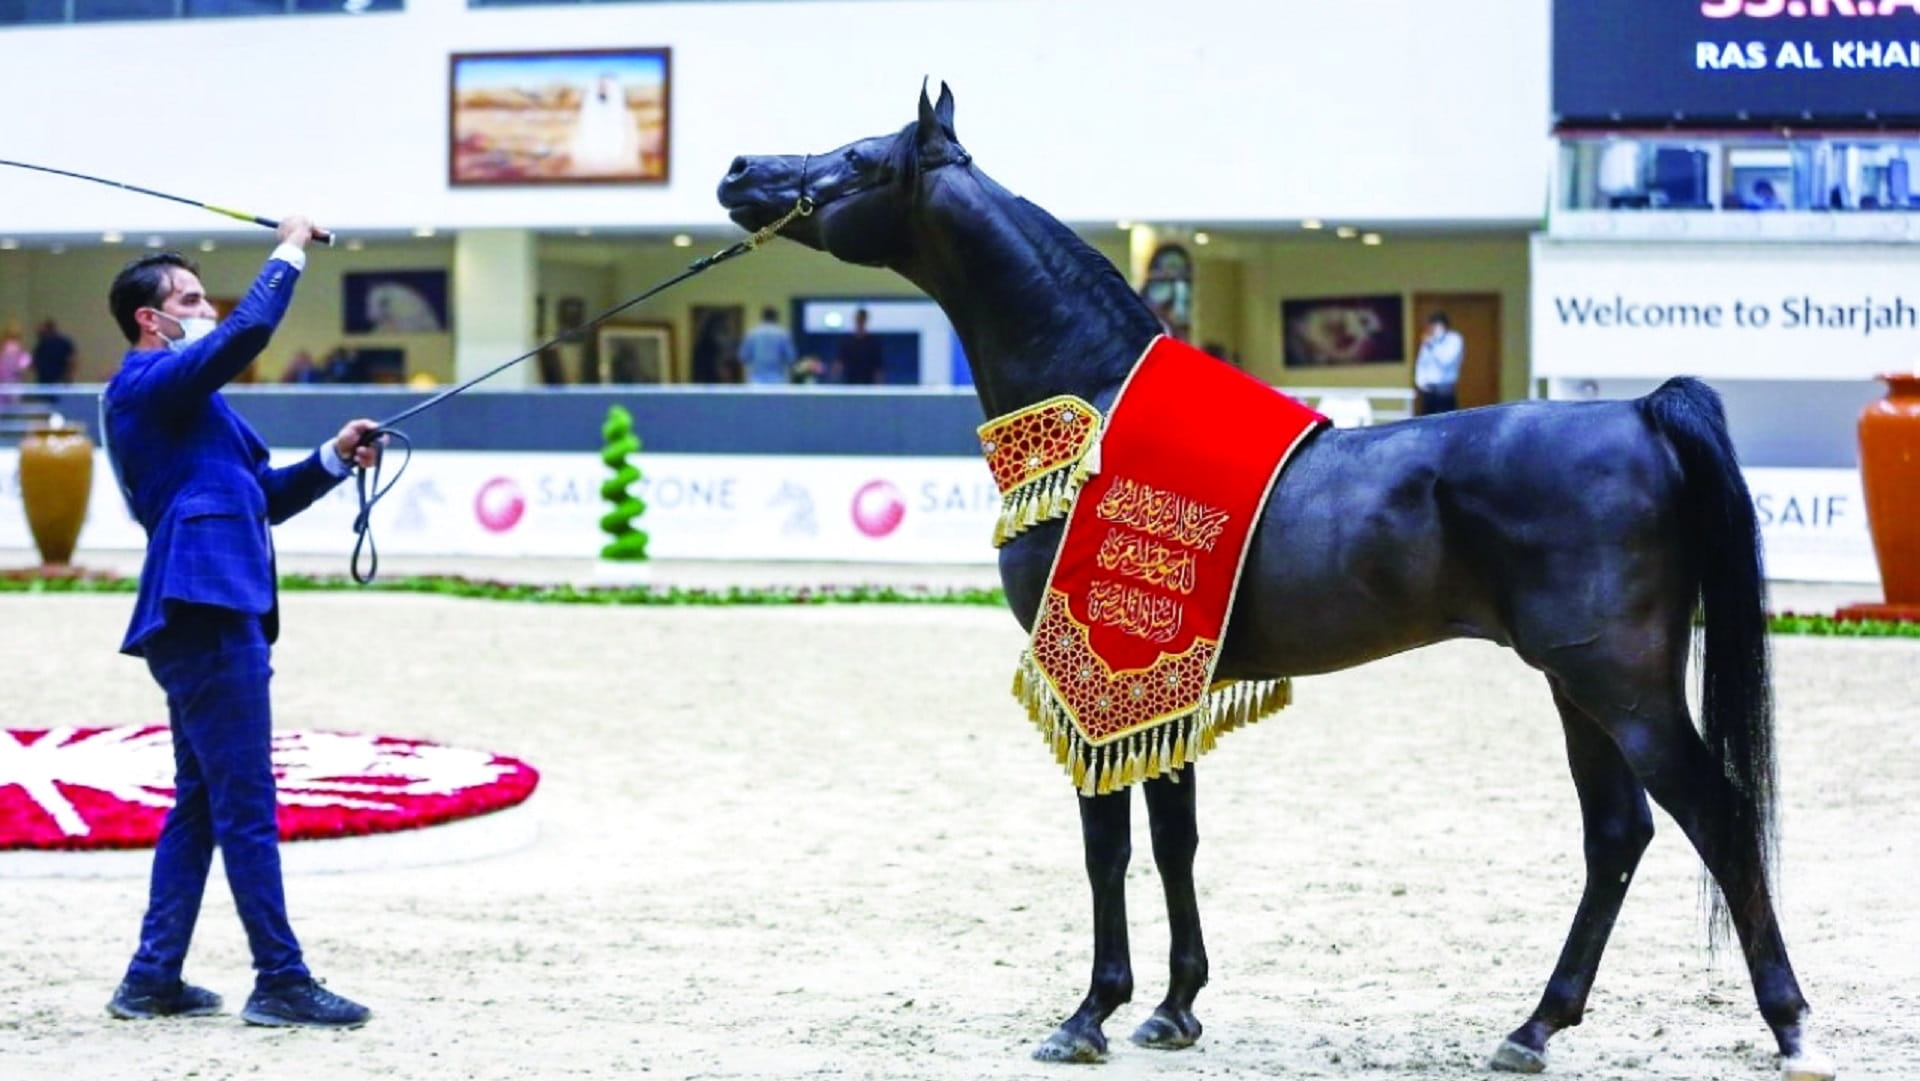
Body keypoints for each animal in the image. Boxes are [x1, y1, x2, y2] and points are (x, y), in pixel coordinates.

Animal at [718, 86, 1827, 1081]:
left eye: (859, 158)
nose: (737, 171)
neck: (1097, 409)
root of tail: (1639, 412)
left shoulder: (1091, 676)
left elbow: (1107, 847)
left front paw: (1088, 1015)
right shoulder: (1160, 679)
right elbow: (1175, 838)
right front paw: (1174, 1007)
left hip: (1619, 684)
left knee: (1715, 816)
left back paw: (1789, 1026)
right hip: (1577, 685)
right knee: (1618, 833)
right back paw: (1534, 1027)